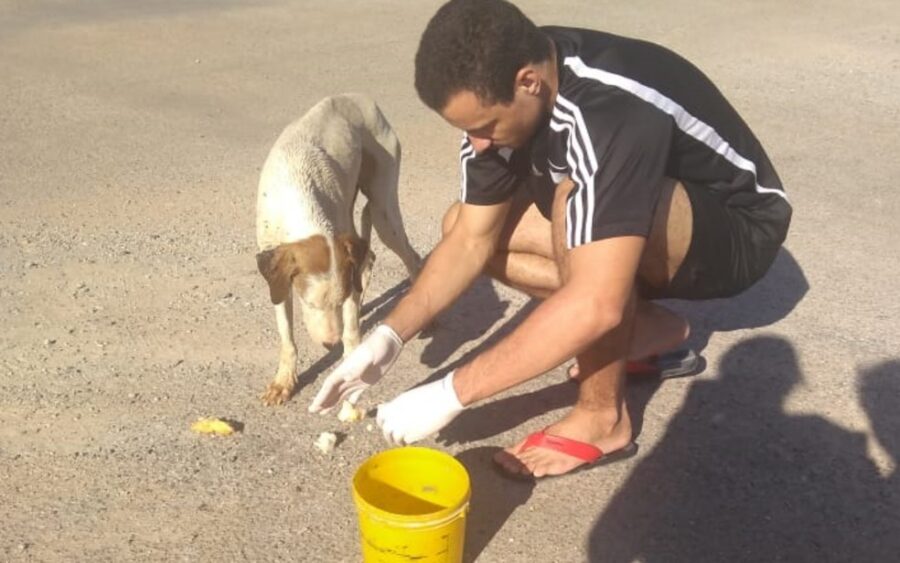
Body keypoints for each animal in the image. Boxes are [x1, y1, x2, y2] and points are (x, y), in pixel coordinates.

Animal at [255, 93, 420, 406]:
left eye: (338, 299)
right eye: (309, 303)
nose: (330, 342)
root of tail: (359, 98)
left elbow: (352, 331)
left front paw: (351, 365)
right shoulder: (277, 280)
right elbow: (287, 336)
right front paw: (284, 381)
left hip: (383, 210)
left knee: (411, 257)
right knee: (370, 258)